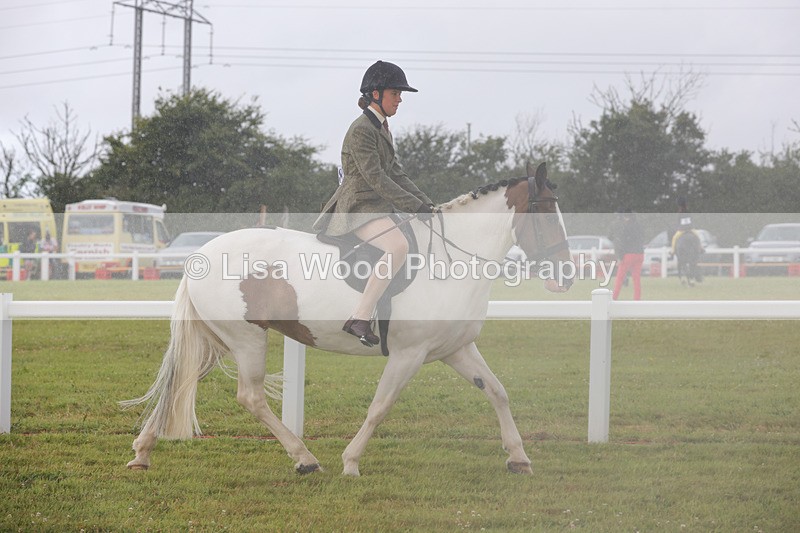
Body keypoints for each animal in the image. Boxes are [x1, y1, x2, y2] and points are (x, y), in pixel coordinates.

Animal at [122, 162, 573, 477]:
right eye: (547, 213)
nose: (566, 276)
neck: (450, 261)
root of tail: (202, 254)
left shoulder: (455, 349)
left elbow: (497, 391)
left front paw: (519, 458)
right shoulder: (409, 354)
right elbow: (380, 406)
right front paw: (351, 462)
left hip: (217, 343)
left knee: (179, 382)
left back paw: (143, 453)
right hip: (247, 340)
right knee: (250, 397)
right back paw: (304, 458)